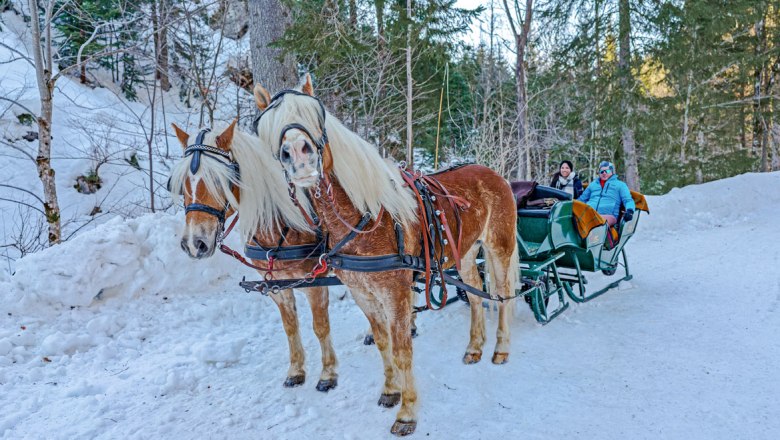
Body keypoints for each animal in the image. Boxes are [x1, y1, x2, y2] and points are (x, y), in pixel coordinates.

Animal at [168, 121, 338, 392]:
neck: (280, 224)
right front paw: (296, 370)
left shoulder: (315, 281)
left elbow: (320, 326)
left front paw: (328, 374)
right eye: (181, 182)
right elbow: (290, 326)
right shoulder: (277, 286)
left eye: (221, 180)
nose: (195, 244)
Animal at [256, 76, 520, 436]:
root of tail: (494, 173)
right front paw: (390, 391)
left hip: (498, 246)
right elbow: (382, 342)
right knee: (478, 295)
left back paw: (501, 349)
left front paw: (407, 413)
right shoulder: (362, 293)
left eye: (315, 117)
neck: (366, 218)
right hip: (464, 253)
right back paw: (474, 348)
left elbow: (402, 348)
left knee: (504, 294)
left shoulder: (395, 293)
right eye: (271, 125)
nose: (297, 154)